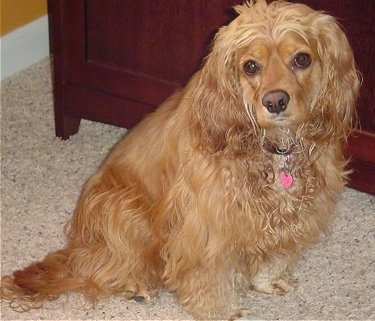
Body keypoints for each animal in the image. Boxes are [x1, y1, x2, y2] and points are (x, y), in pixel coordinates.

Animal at [0, 0, 362, 318]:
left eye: (301, 59)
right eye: (251, 66)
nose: (275, 101)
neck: (274, 148)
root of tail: (79, 243)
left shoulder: (297, 210)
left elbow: (278, 251)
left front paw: (268, 280)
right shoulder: (208, 224)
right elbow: (210, 275)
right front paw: (220, 311)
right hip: (126, 209)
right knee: (105, 265)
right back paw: (134, 285)